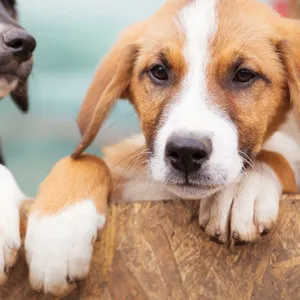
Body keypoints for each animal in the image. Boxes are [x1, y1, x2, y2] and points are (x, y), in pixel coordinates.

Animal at [24, 0, 300, 296]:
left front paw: (242, 189)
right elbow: (83, 159)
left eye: (244, 74)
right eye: (159, 71)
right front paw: (58, 231)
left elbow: (277, 156)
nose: (186, 152)